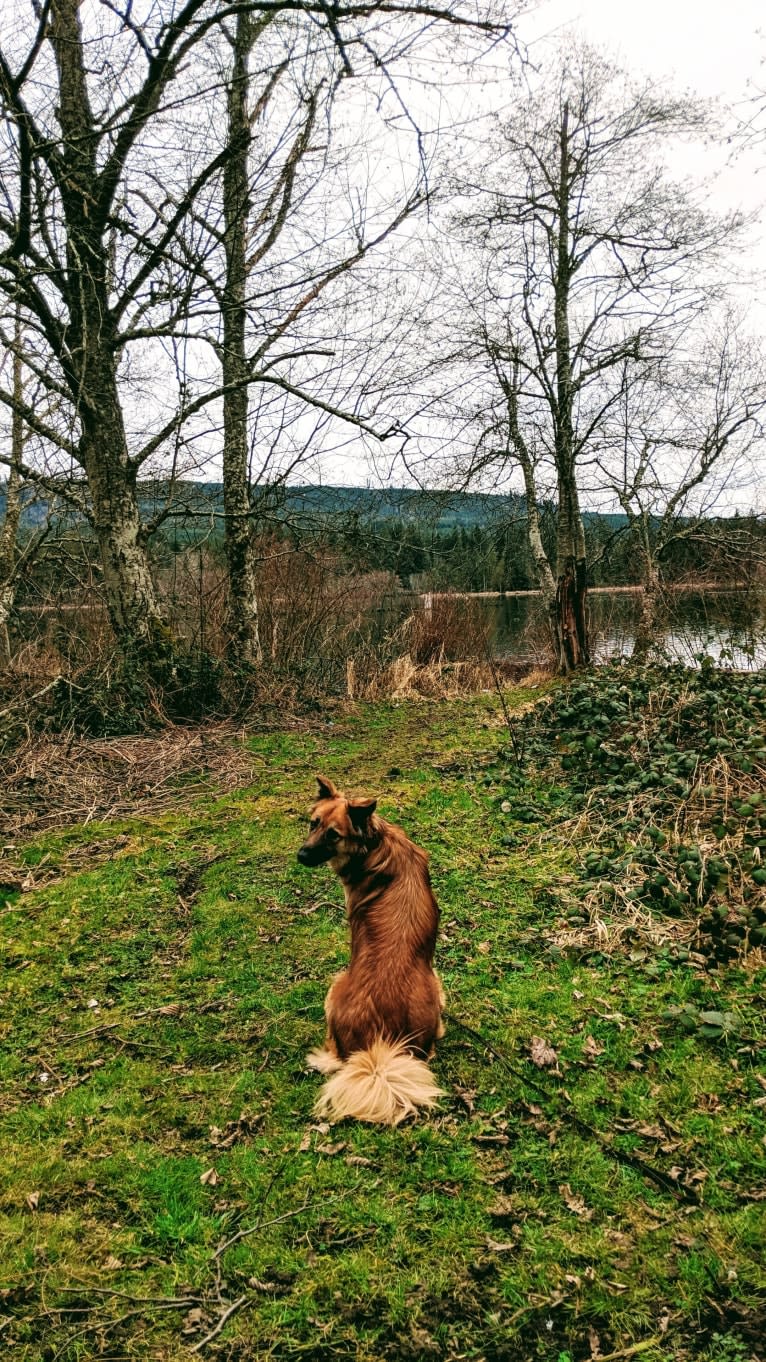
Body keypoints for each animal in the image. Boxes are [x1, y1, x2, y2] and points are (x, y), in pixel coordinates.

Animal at [295, 773, 444, 1122]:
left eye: (333, 835)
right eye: (313, 823)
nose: (301, 856)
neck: (375, 843)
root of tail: (381, 1045)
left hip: (335, 986)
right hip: (436, 987)